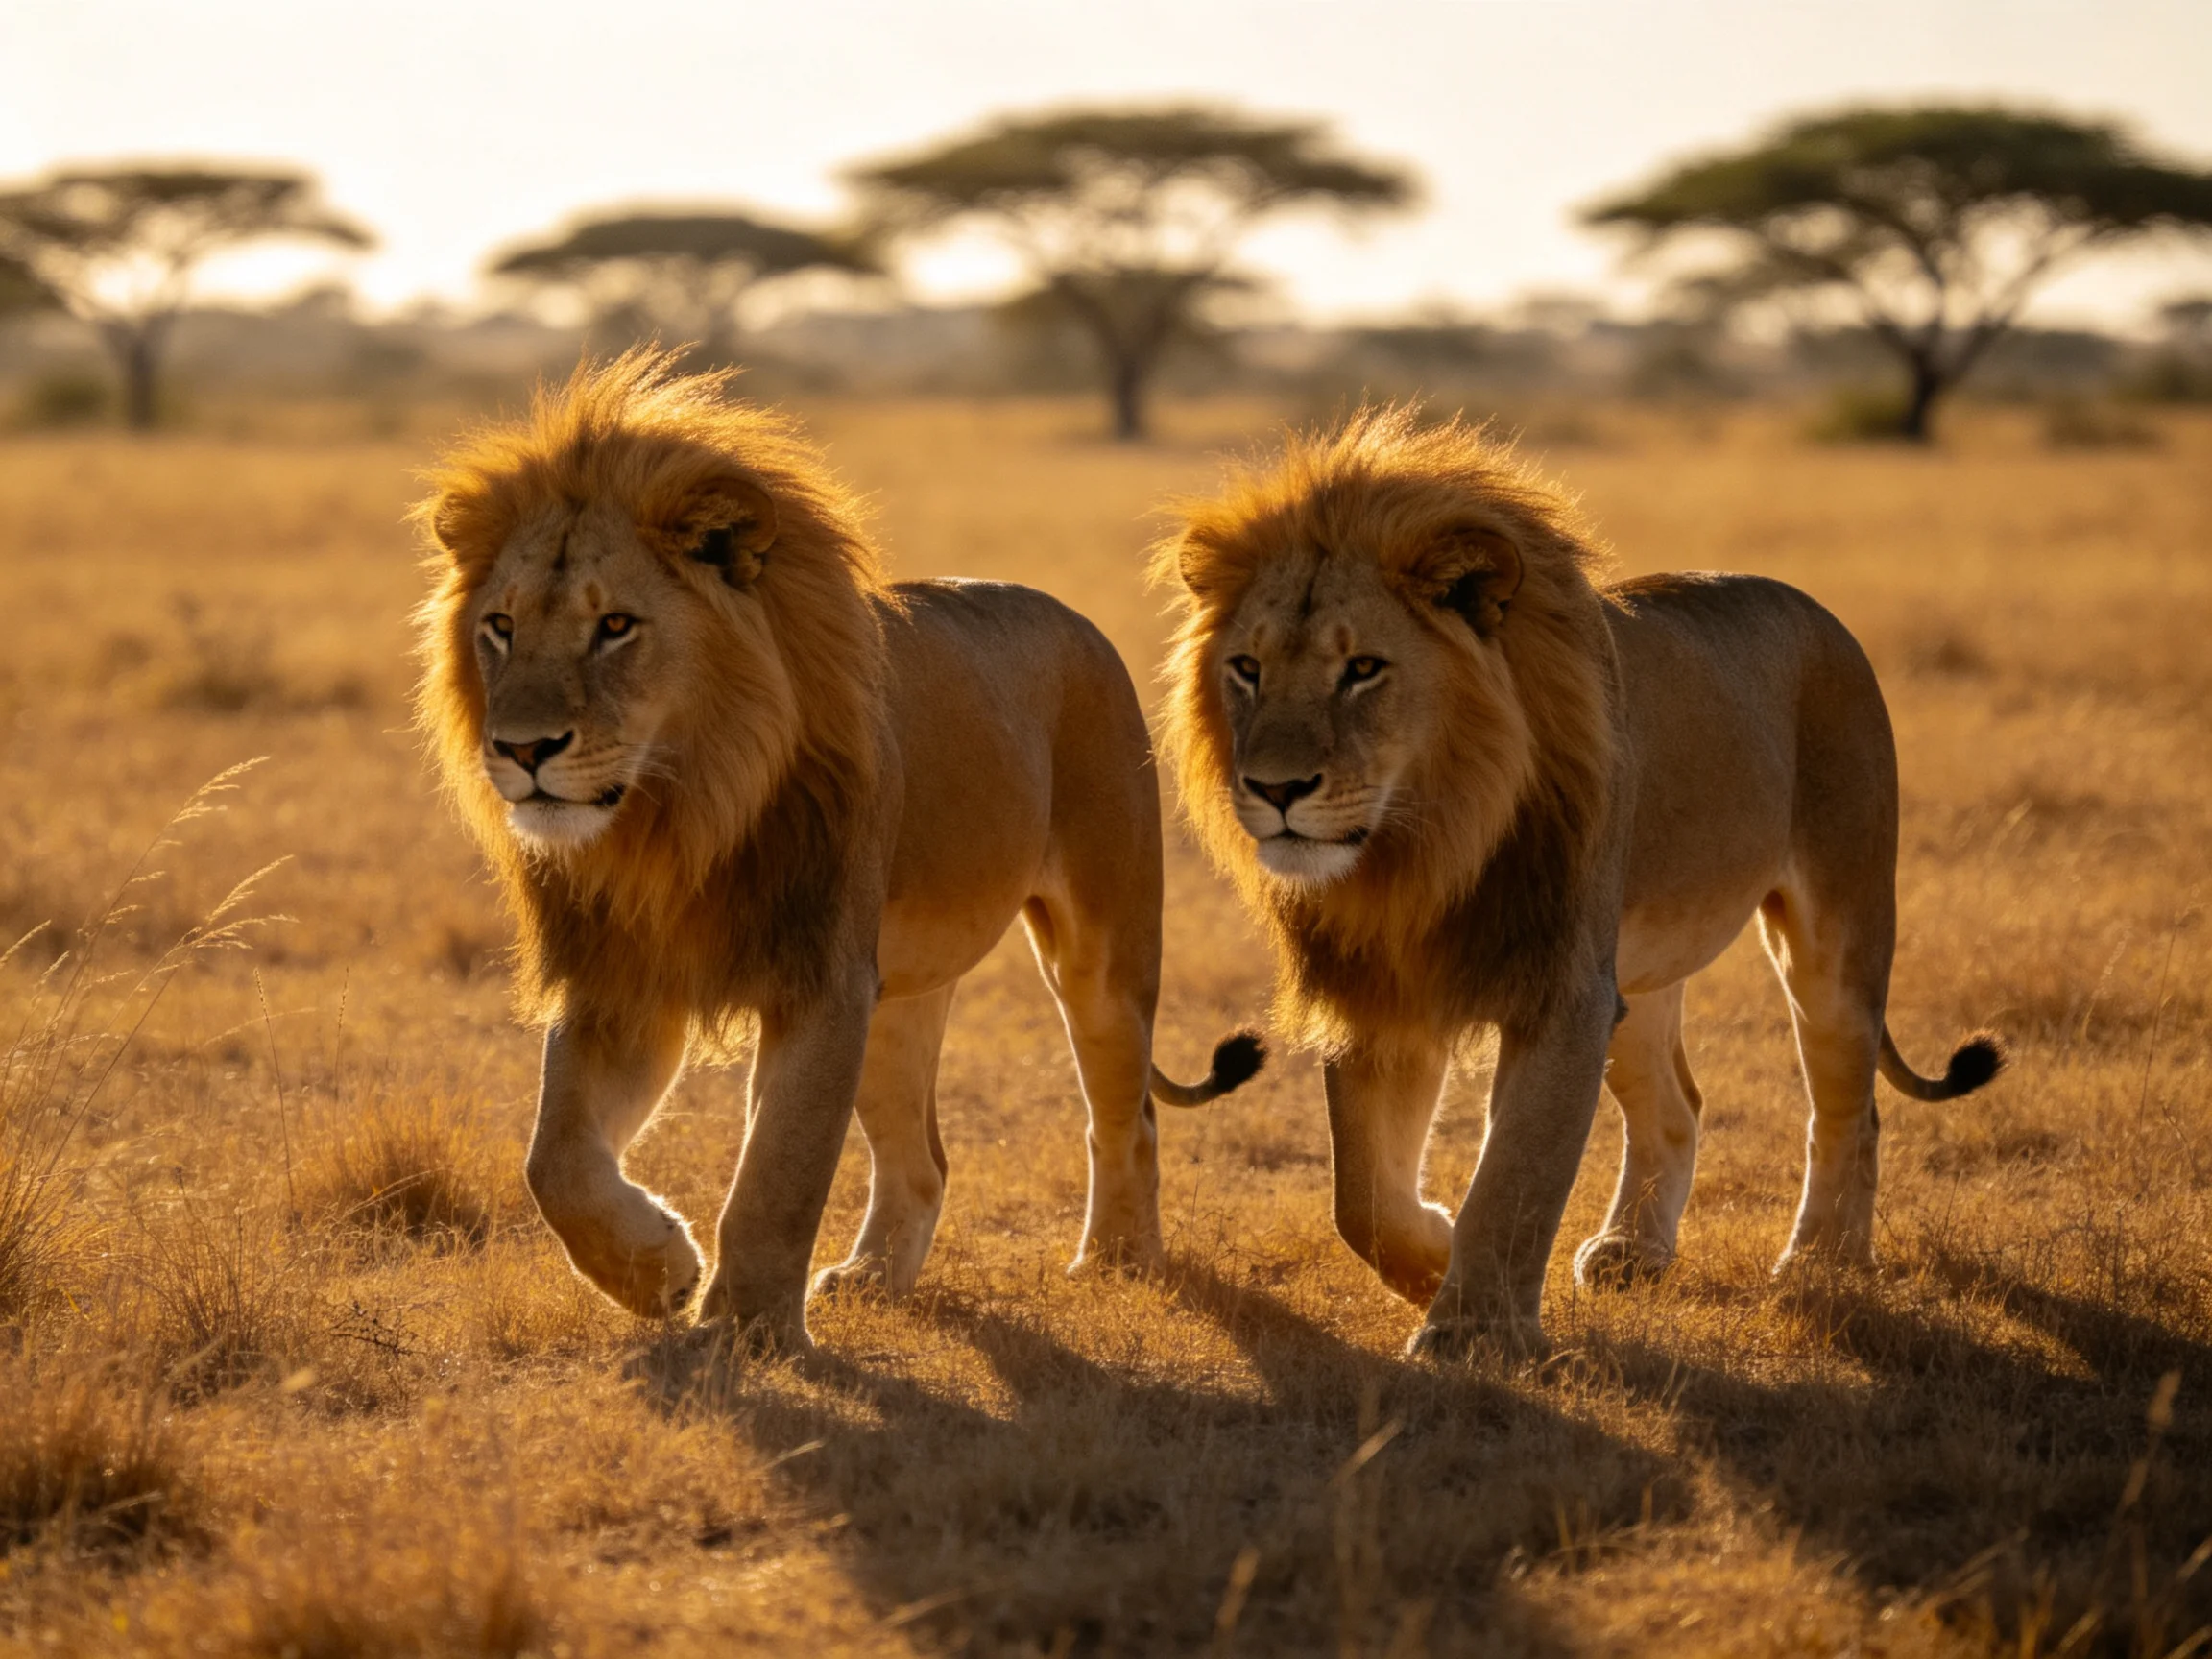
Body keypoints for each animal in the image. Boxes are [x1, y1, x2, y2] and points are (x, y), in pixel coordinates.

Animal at [415, 350, 1261, 1349]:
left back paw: (1118, 1261)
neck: (680, 816)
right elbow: (554, 1160)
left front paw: (745, 1332)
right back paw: (871, 1279)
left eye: (615, 626)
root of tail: (1074, 619)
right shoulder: (626, 976)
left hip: (1099, 950)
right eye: (500, 627)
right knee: (923, 1157)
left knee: (1126, 1115)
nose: (522, 750)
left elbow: (777, 1175)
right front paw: (658, 1272)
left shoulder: (820, 977)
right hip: (898, 995)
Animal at [1154, 407, 2003, 1358]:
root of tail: (1818, 612)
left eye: (1363, 668)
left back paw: (1822, 1263)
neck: (1422, 847)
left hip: (1834, 929)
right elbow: (1360, 1197)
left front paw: (1472, 1330)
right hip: (1634, 973)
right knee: (1678, 1104)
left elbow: (1516, 1174)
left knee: (1847, 1106)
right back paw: (1635, 1251)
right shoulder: (1386, 987)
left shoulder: (1562, 989)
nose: (1276, 789)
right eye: (1247, 668)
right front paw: (1432, 1260)